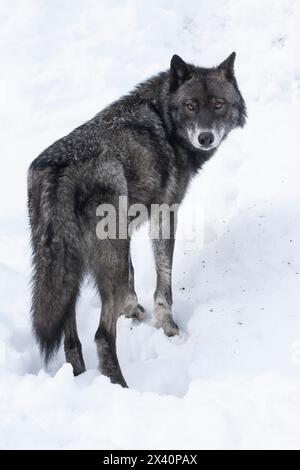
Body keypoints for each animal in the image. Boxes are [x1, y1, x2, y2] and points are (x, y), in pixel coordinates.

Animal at [27, 53, 246, 388]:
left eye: (218, 104)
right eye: (190, 105)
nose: (205, 137)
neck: (164, 118)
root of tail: (59, 171)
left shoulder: (128, 228)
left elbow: (132, 276)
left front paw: (131, 309)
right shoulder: (165, 213)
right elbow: (164, 281)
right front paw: (168, 328)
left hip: (68, 270)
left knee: (71, 338)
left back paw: (79, 379)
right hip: (100, 262)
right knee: (102, 335)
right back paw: (119, 386)